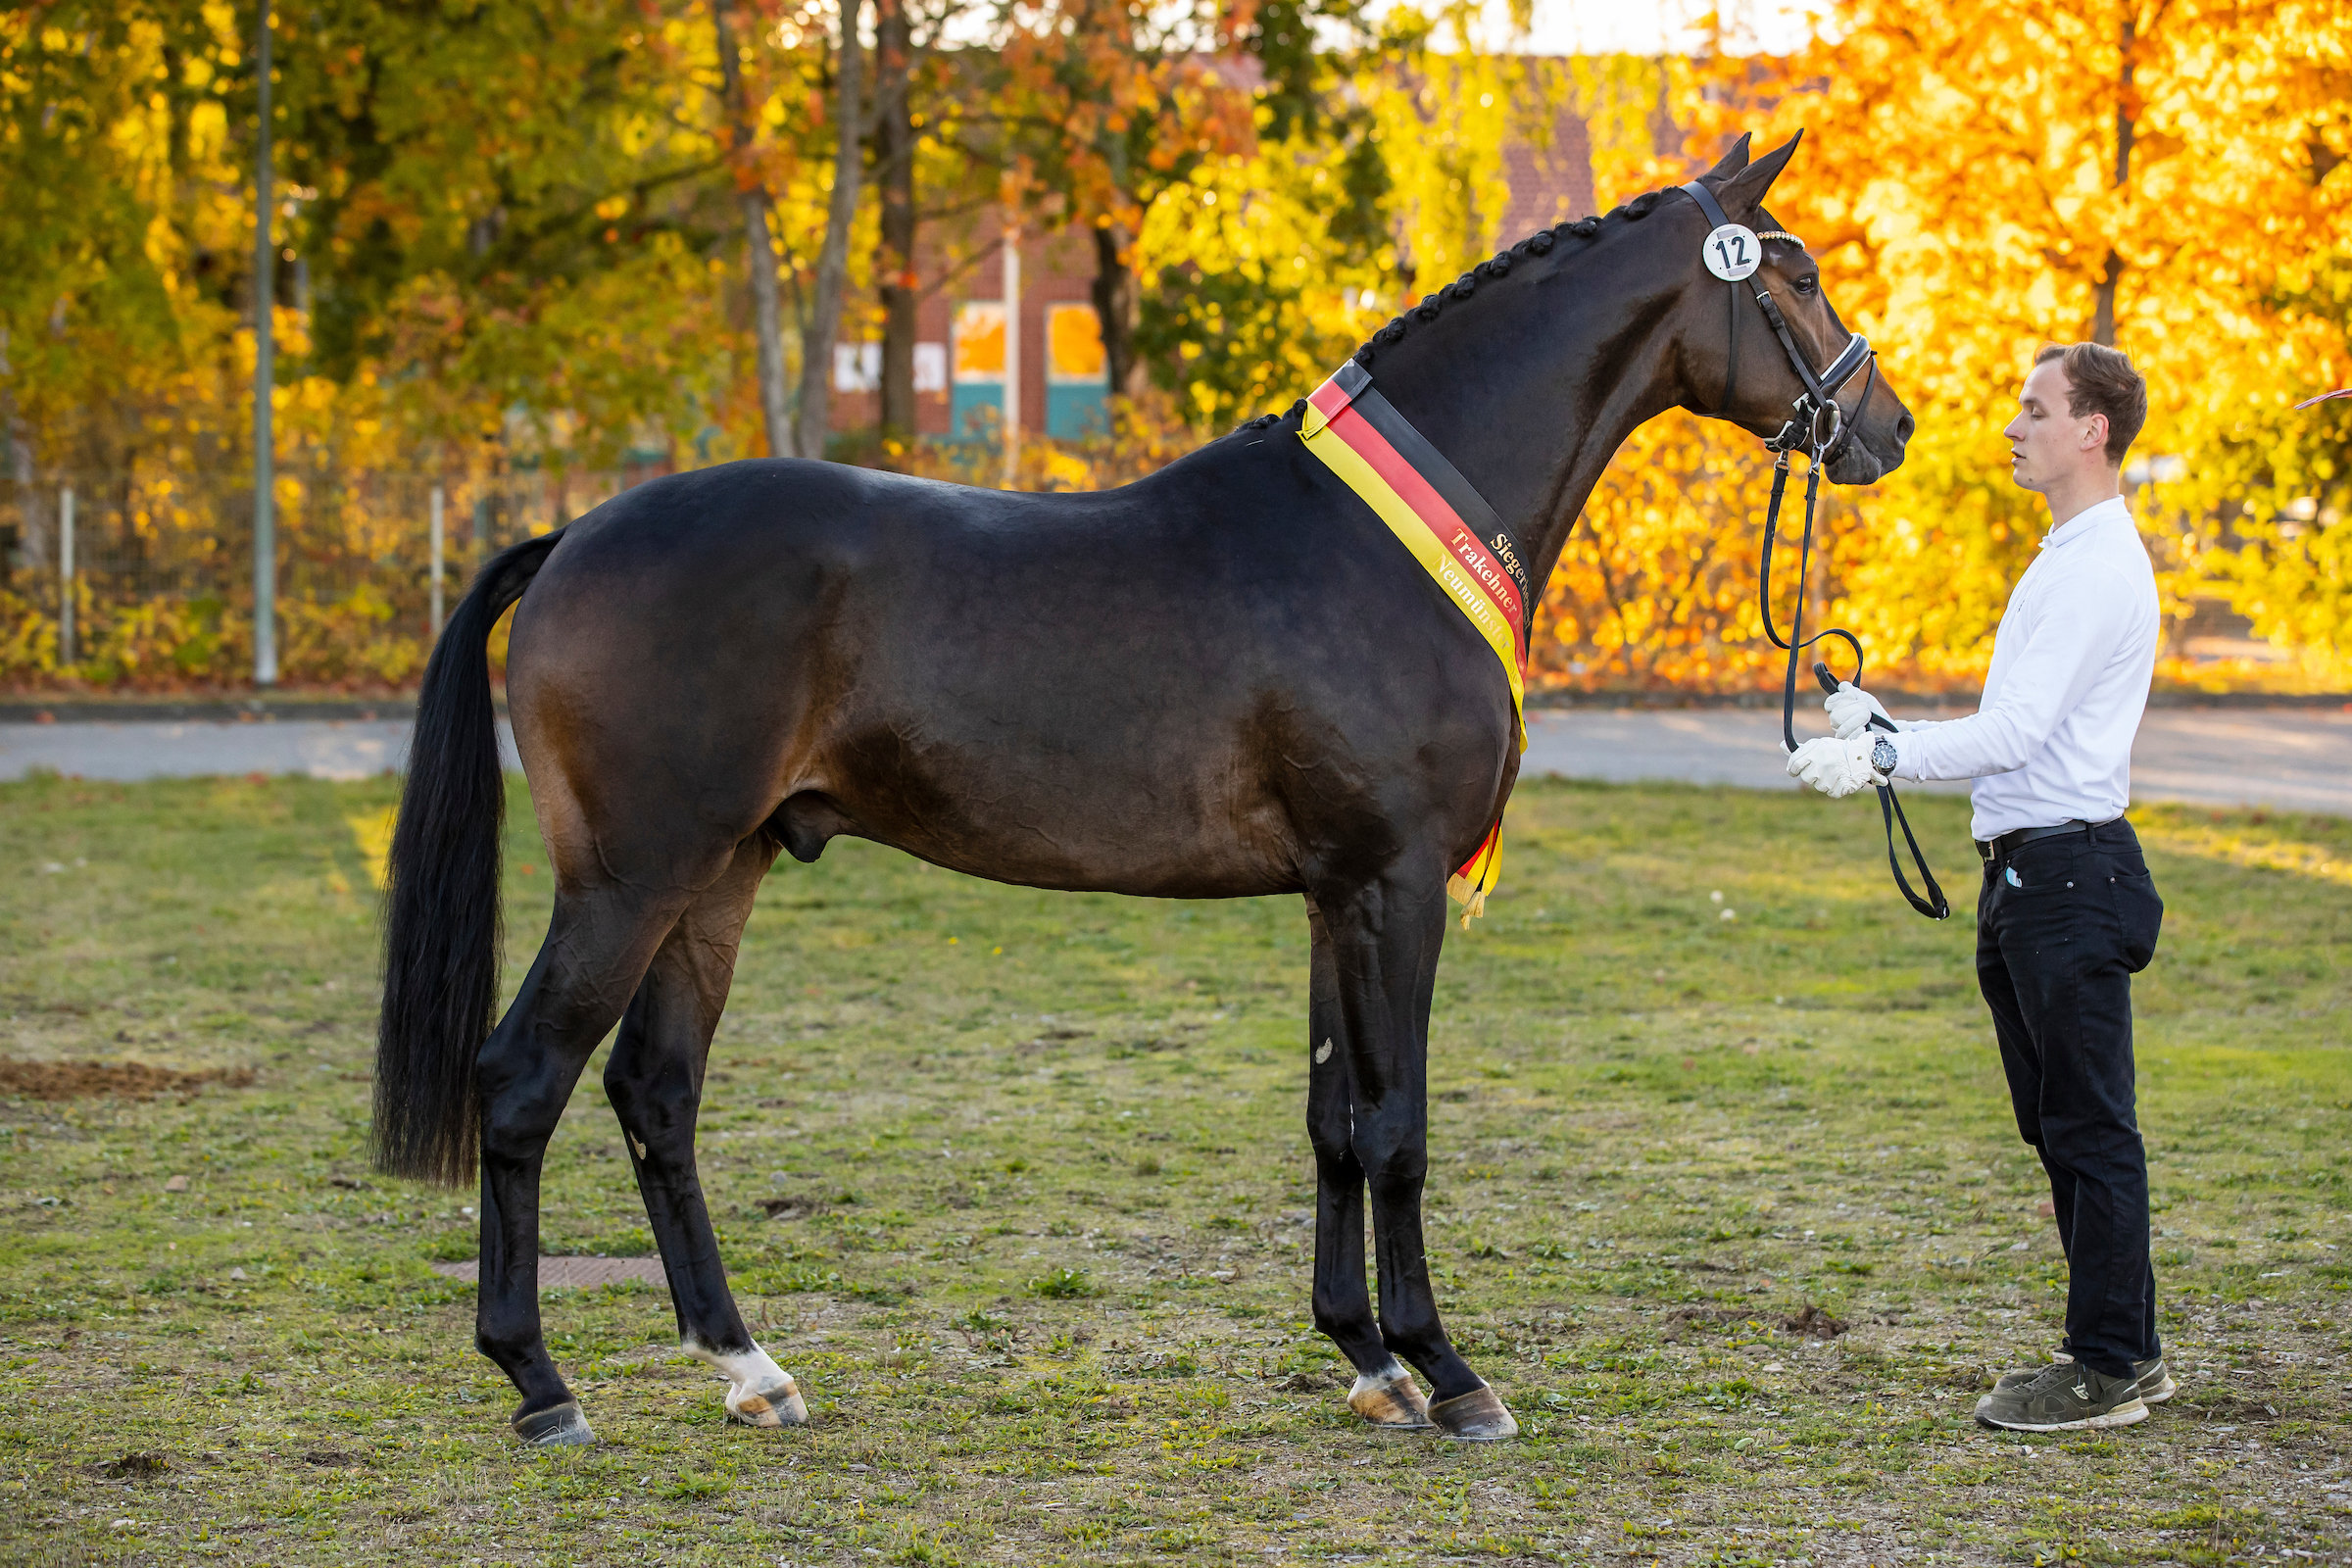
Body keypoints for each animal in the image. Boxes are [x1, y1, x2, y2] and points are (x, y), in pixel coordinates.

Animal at [371, 134, 1909, 1447]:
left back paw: (750, 1368)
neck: (1380, 542)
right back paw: (539, 1383)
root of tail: (573, 538)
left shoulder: (1334, 893)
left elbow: (1333, 1118)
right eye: (1791, 272)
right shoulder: (1396, 883)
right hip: (632, 876)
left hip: (723, 873)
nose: (1882, 427)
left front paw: (1365, 1359)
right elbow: (1399, 1126)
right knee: (523, 1081)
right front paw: (1449, 1370)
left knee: (656, 1092)